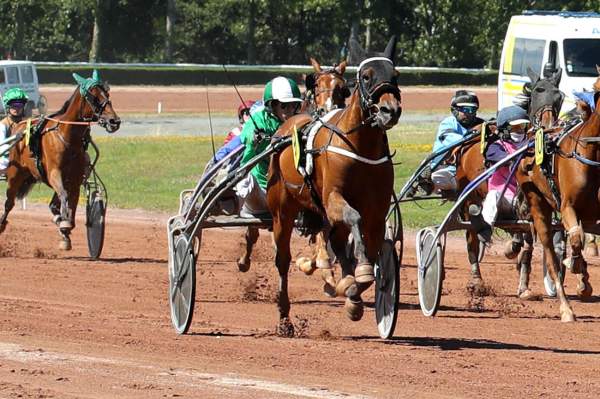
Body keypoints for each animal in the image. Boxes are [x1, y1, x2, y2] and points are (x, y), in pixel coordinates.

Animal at [0, 69, 120, 250]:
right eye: (93, 97)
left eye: (107, 93)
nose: (114, 121)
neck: (67, 137)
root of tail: (20, 126)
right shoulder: (54, 172)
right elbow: (64, 196)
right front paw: (64, 225)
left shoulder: (75, 179)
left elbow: (72, 203)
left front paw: (65, 230)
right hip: (15, 174)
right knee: (9, 203)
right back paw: (2, 224)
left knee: (52, 203)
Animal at [237, 57, 352, 274]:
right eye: (316, 85)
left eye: (342, 89)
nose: (328, 109)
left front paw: (318, 262)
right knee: (253, 230)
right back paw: (244, 260)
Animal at [266, 37, 398, 334]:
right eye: (366, 76)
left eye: (395, 75)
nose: (390, 110)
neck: (361, 148)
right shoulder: (333, 198)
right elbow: (354, 217)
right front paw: (356, 274)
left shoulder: (377, 211)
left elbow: (371, 253)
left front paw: (353, 290)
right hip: (282, 211)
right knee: (282, 259)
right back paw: (284, 317)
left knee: (336, 241)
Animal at [458, 67, 564, 300]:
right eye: (537, 91)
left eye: (559, 96)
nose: (548, 127)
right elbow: (518, 241)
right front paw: (510, 250)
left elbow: (528, 247)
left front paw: (524, 286)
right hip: (469, 198)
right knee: (472, 236)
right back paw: (476, 280)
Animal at [512, 65, 600, 322]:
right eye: (537, 90)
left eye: (559, 95)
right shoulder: (567, 206)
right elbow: (576, 237)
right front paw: (578, 271)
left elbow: (579, 238)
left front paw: (582, 276)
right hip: (538, 205)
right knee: (550, 255)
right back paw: (566, 308)